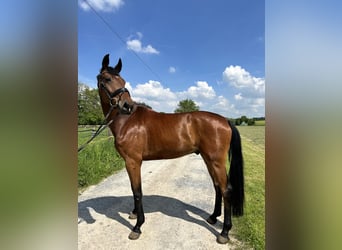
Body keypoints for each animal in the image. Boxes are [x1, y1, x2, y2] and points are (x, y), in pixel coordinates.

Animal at [97, 54, 243, 244]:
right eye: (108, 79)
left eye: (122, 80)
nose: (126, 105)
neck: (127, 121)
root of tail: (225, 120)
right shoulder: (132, 163)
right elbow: (135, 190)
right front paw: (134, 214)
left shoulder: (132, 162)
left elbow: (137, 192)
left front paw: (137, 226)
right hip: (208, 159)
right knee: (217, 186)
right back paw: (212, 217)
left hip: (216, 161)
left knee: (226, 190)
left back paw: (224, 232)